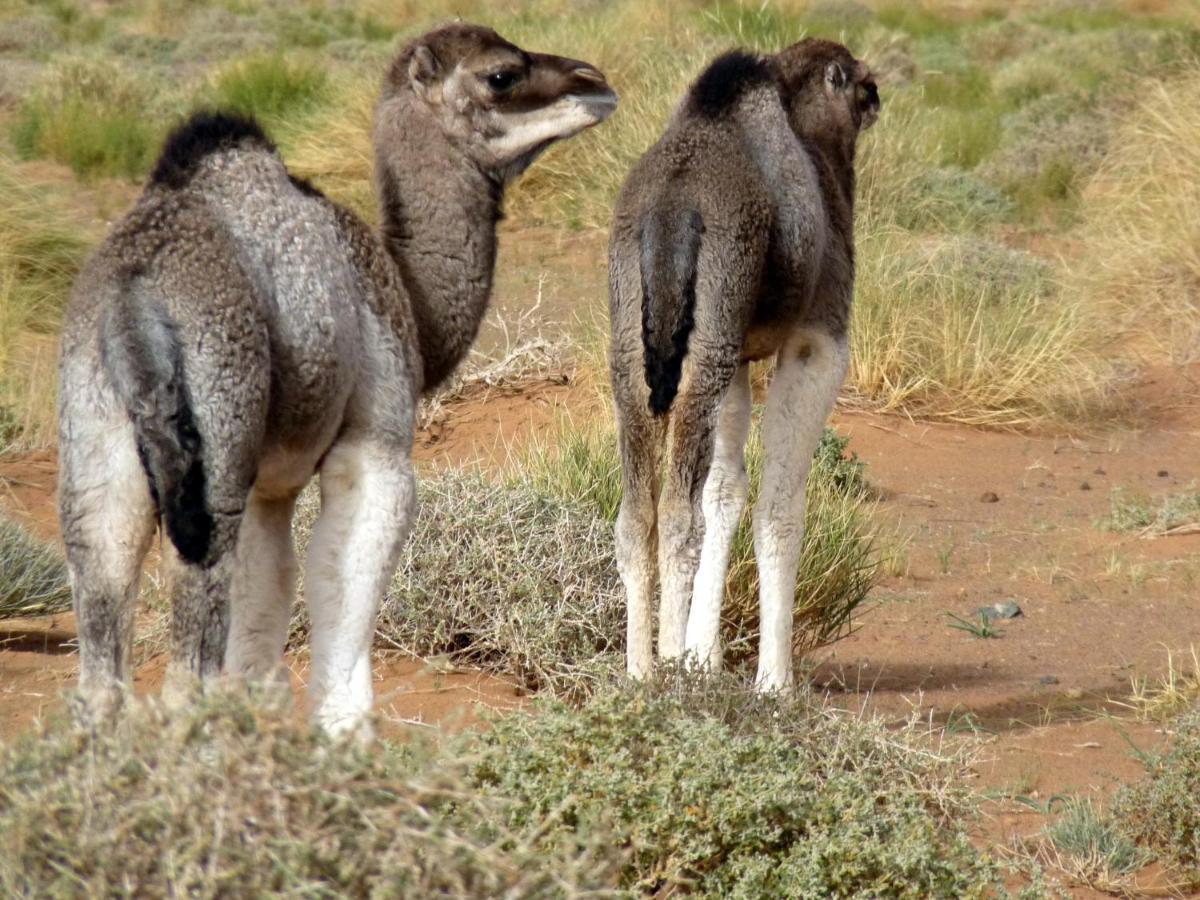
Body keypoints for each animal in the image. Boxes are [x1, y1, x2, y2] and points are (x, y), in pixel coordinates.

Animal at [59, 22, 614, 739]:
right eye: (501, 75)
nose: (593, 81)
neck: (409, 297)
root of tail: (132, 302)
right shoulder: (374, 444)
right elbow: (342, 582)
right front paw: (343, 737)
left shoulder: (270, 484)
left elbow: (268, 597)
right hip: (216, 434)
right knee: (187, 676)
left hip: (97, 439)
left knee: (102, 657)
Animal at [614, 40, 878, 691]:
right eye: (862, 85)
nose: (877, 98)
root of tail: (671, 210)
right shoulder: (819, 340)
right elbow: (780, 505)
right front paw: (773, 684)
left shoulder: (734, 355)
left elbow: (725, 492)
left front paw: (704, 658)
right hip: (706, 344)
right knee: (676, 515)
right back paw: (668, 671)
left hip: (638, 348)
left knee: (637, 515)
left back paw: (640, 674)